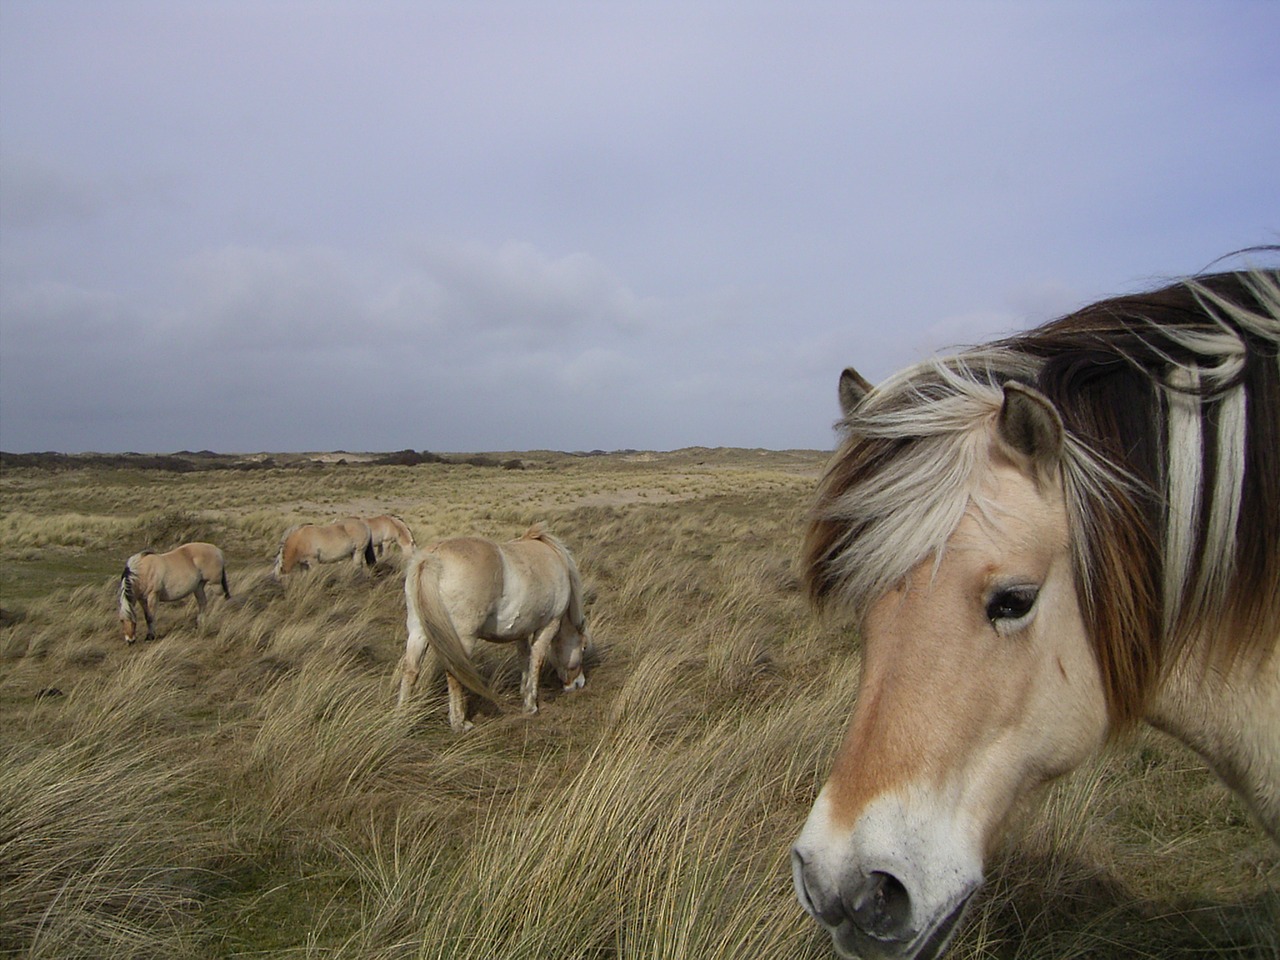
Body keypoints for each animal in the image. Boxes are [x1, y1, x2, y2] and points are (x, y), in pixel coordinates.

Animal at [396, 527, 591, 727]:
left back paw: (402, 715)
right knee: (454, 672)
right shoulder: (549, 625)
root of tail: (431, 558)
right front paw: (531, 705)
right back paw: (459, 723)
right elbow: (537, 659)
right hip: (462, 638)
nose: (579, 683)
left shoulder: (522, 630)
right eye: (583, 647)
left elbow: (524, 658)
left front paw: (524, 691)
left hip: (417, 631)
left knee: (411, 669)